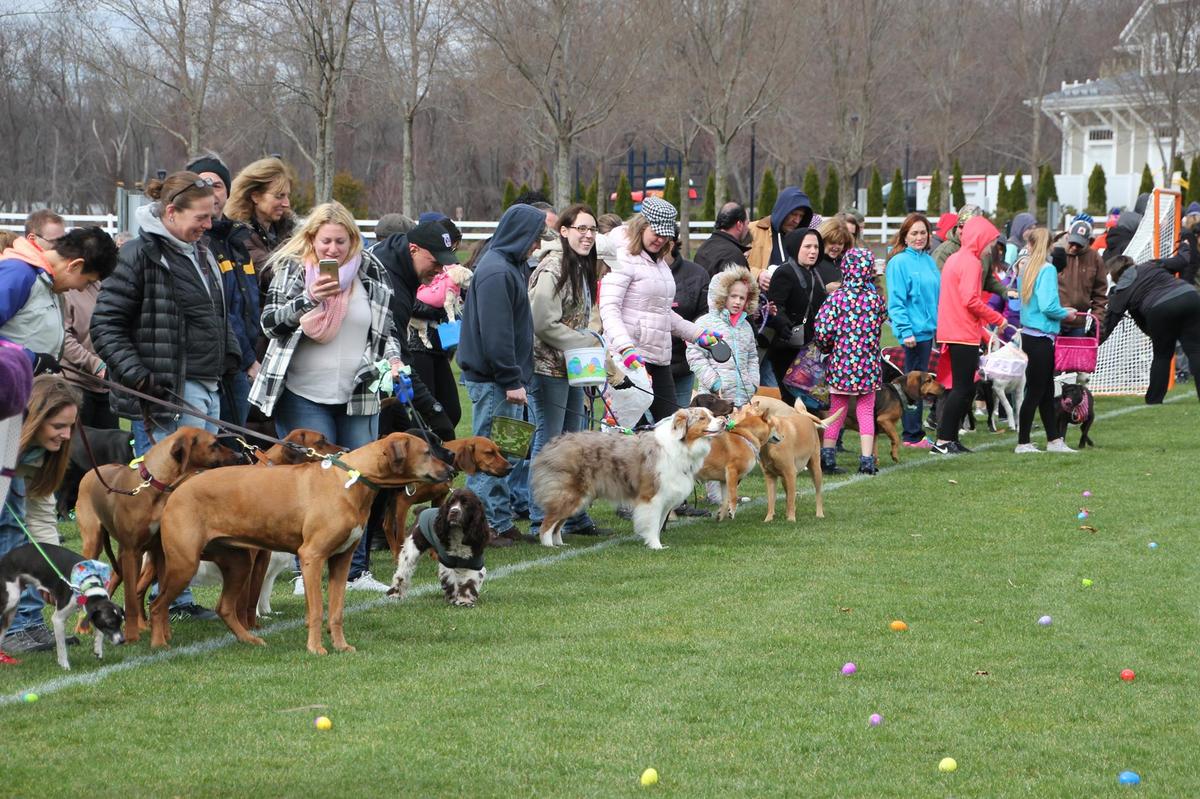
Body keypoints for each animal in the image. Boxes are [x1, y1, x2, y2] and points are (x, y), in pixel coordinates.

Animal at [73, 427, 247, 638]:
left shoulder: (161, 552)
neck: (154, 486)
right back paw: (83, 627)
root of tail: (90, 472)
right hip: (95, 543)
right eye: (214, 444)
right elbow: (131, 599)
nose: (240, 456)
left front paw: (163, 634)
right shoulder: (132, 552)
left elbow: (159, 596)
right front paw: (132, 636)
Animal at [150, 431, 451, 652]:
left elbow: (337, 610)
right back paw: (159, 643)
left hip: (238, 563)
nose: (450, 469)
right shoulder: (312, 557)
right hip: (185, 563)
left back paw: (248, 639)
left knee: (223, 607)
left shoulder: (341, 560)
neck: (352, 479)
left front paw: (341, 646)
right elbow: (316, 609)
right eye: (427, 452)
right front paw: (316, 648)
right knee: (157, 605)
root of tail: (178, 489)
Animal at [532, 405, 720, 547]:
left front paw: (656, 543)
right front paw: (655, 546)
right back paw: (549, 546)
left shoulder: (666, 497)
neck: (680, 445)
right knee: (547, 524)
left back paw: (560, 544)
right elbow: (652, 524)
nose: (723, 421)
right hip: (569, 494)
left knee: (558, 524)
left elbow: (659, 524)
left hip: (577, 499)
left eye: (712, 414)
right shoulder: (651, 497)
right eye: (702, 418)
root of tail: (553, 445)